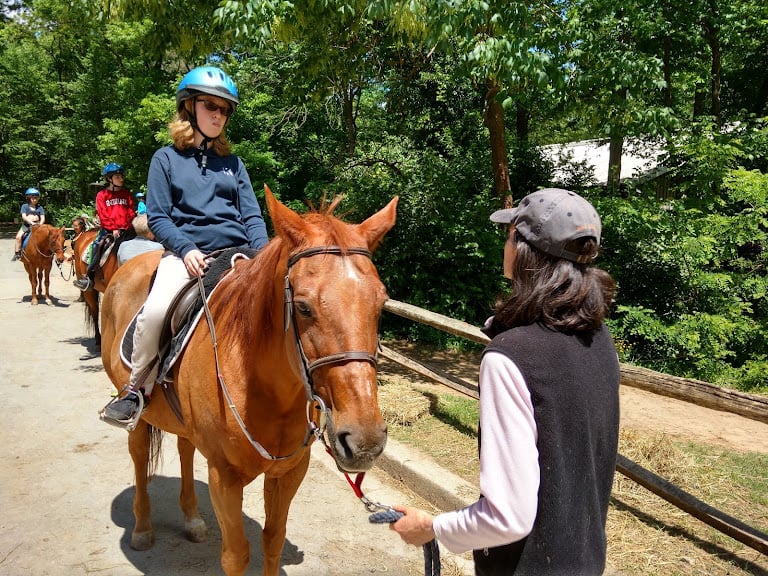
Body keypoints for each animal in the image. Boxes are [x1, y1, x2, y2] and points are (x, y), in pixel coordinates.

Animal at [99, 185, 398, 576]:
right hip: (137, 412)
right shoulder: (224, 477)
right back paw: (142, 528)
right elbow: (237, 554)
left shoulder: (289, 473)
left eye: (380, 304)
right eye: (303, 307)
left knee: (184, 448)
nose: (365, 441)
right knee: (138, 456)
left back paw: (192, 519)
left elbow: (272, 541)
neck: (266, 389)